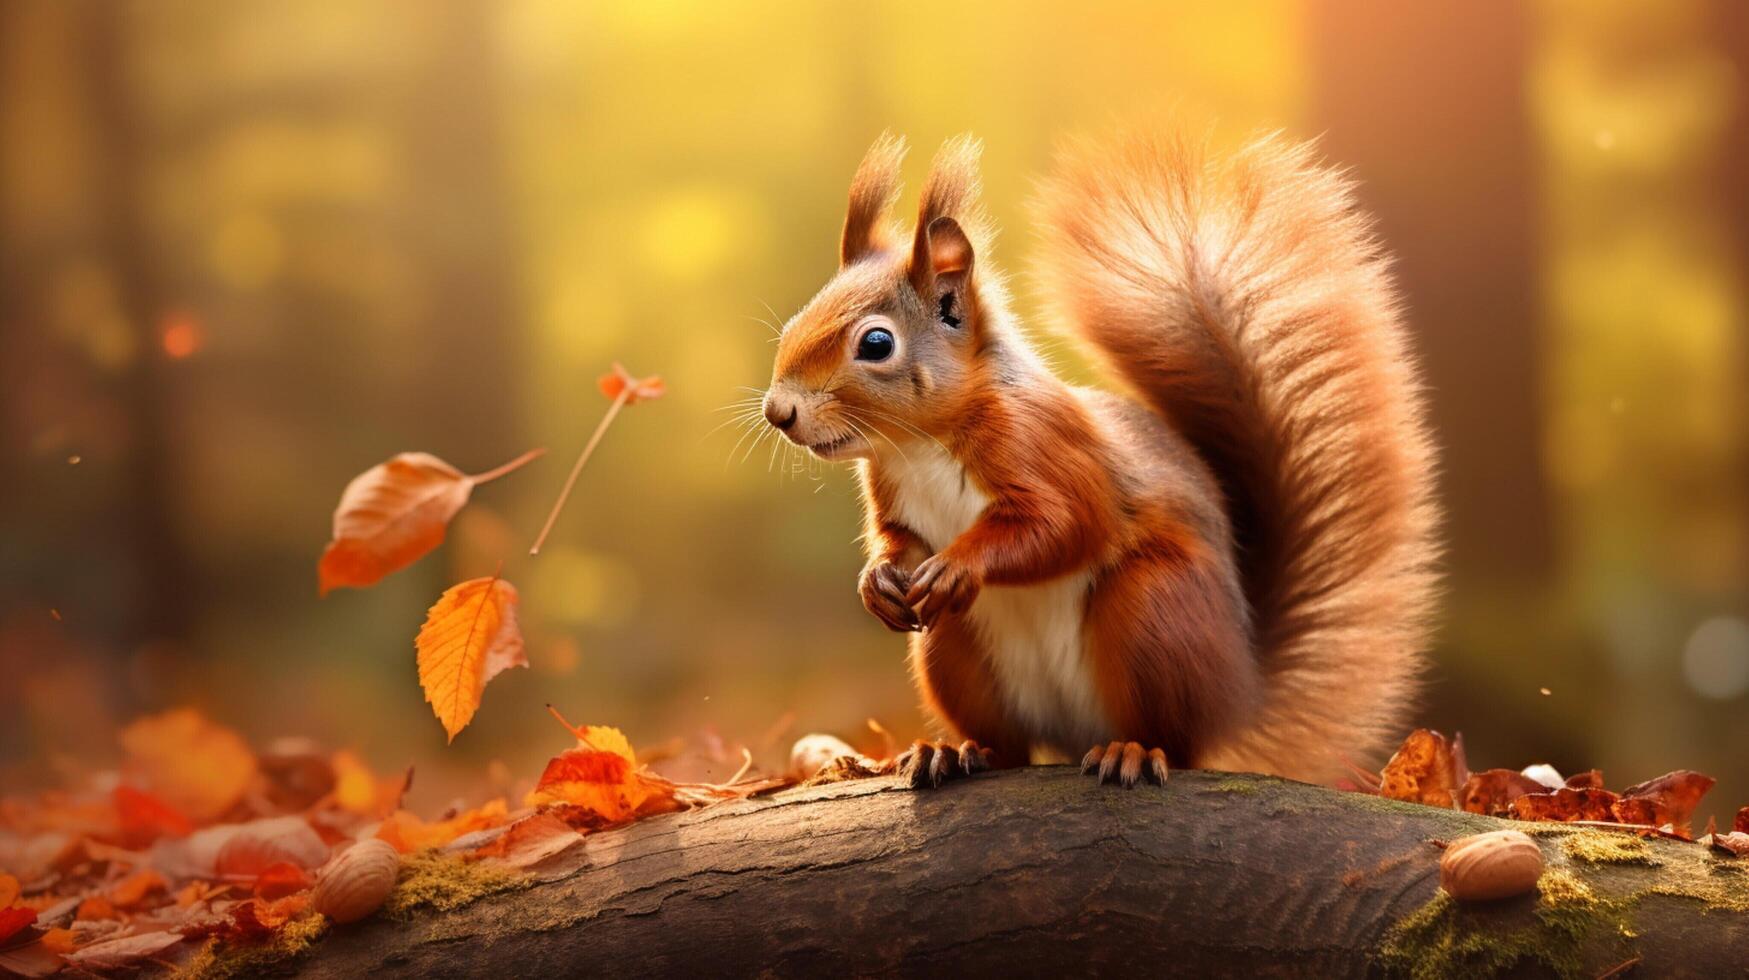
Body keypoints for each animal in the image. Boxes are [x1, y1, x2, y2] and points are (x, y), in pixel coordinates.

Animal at [762, 128, 1434, 787]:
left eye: (876, 343)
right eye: (796, 321)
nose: (778, 411)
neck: (918, 444)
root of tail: (1238, 692)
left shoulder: (1045, 448)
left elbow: (1065, 524)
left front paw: (956, 566)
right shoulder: (893, 494)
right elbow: (898, 539)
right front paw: (877, 581)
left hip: (1154, 613)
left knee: (1175, 743)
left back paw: (1131, 751)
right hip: (954, 650)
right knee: (1007, 746)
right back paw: (954, 753)